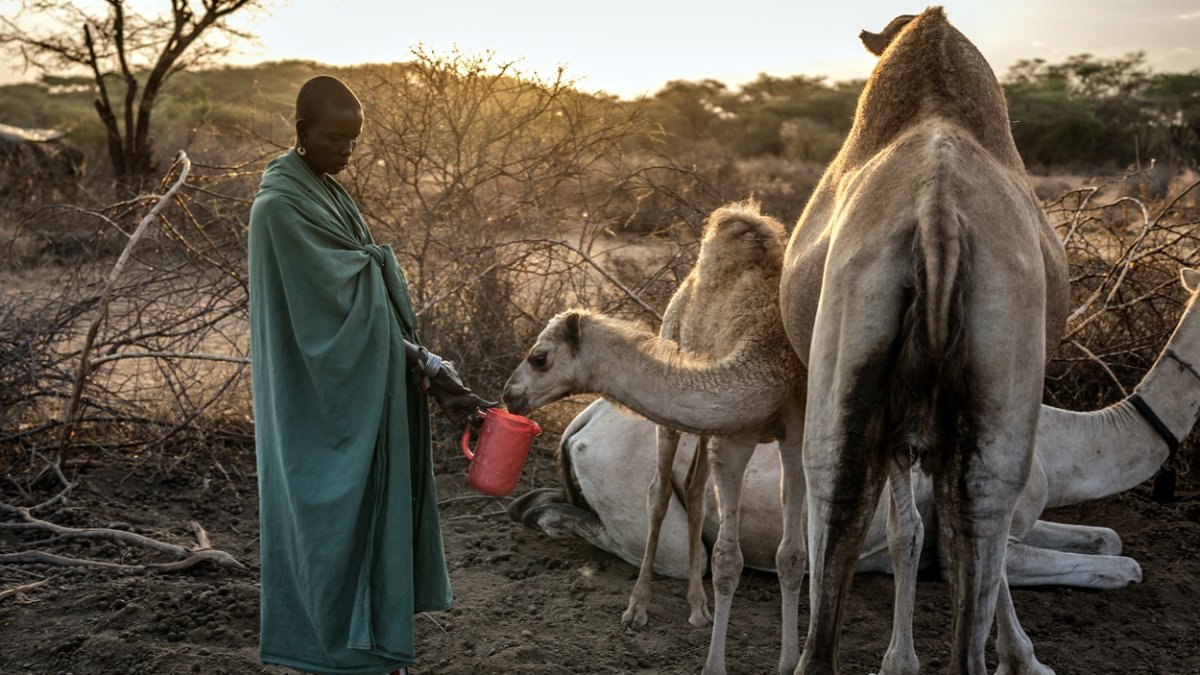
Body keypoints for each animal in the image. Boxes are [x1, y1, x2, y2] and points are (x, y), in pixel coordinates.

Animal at [503, 201, 801, 675]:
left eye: (539, 357)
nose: (509, 394)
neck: (769, 352)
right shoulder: (736, 435)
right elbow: (727, 559)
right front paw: (714, 665)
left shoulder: (796, 431)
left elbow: (792, 554)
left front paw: (790, 662)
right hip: (677, 398)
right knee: (659, 494)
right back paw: (638, 608)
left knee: (694, 491)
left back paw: (698, 607)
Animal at [511, 267, 1200, 604]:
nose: (512, 392)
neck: (1062, 445)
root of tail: (582, 424)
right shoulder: (972, 540)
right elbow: (1124, 566)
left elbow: (1110, 538)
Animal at [775, 9, 1069, 674]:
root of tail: (939, 213)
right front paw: (1018, 655)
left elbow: (904, 529)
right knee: (983, 508)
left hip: (851, 351)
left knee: (841, 490)